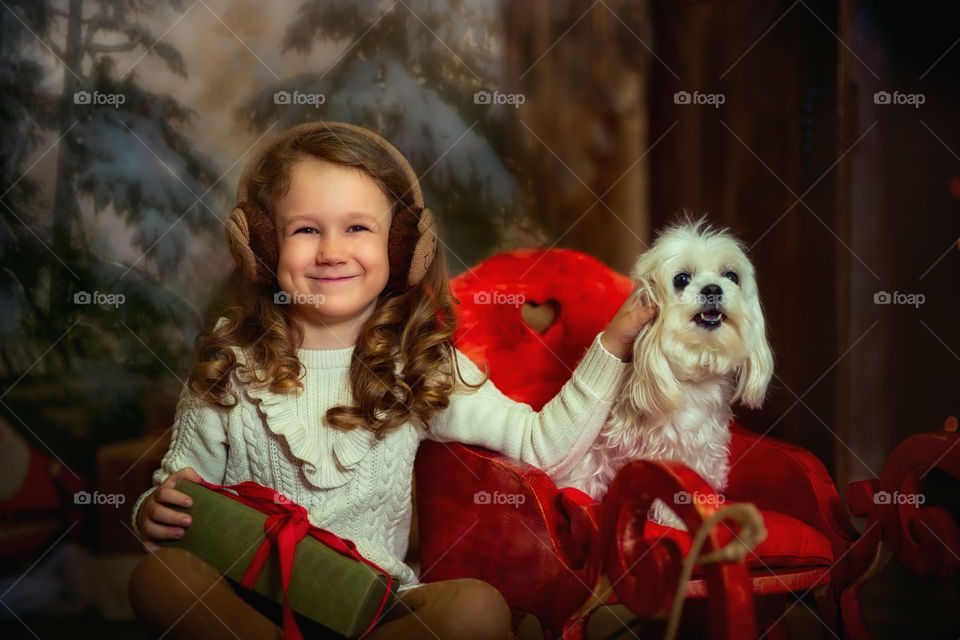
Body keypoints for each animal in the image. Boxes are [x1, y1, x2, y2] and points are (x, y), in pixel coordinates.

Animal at [564, 218, 772, 528]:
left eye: (731, 276)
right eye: (681, 279)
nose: (713, 288)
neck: (689, 377)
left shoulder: (695, 453)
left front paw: (674, 519)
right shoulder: (597, 450)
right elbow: (584, 475)